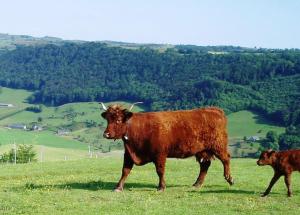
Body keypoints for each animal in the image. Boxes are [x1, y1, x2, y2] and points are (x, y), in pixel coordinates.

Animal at [101, 103, 234, 192]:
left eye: (118, 120)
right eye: (107, 119)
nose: (106, 134)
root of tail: (214, 110)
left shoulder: (160, 154)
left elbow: (160, 171)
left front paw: (161, 187)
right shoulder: (129, 154)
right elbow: (125, 171)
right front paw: (118, 187)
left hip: (218, 145)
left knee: (226, 159)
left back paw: (229, 178)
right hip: (202, 150)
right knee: (205, 165)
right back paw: (197, 184)